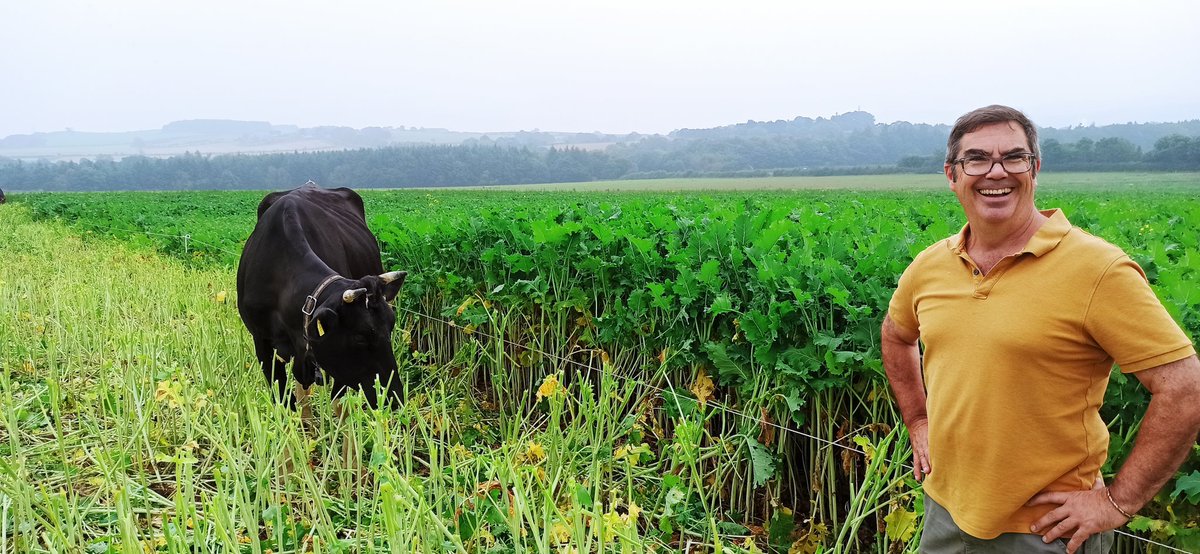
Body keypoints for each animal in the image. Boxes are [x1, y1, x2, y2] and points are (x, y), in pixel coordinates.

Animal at [236, 182, 406, 413]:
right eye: (360, 337)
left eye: (391, 327)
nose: (394, 398)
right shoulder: (261, 342)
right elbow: (285, 400)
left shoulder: (337, 363)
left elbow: (337, 403)